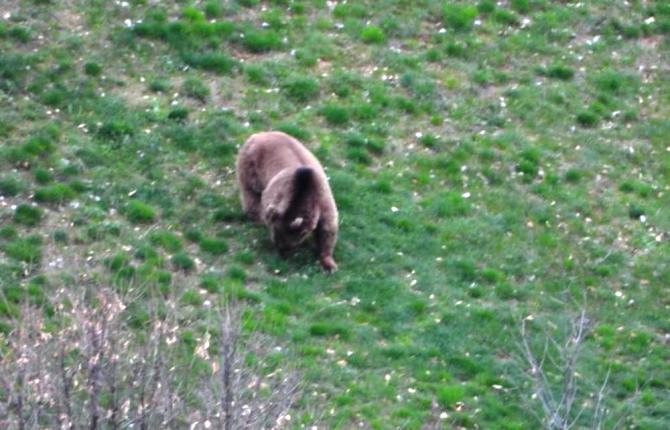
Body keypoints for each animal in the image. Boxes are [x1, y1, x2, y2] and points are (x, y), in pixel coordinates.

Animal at [238, 132, 342, 272]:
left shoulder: (323, 202)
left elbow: (327, 230)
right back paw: (256, 217)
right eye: (277, 237)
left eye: (286, 245)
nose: (282, 252)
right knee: (251, 193)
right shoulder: (278, 193)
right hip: (251, 165)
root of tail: (260, 134)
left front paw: (329, 263)